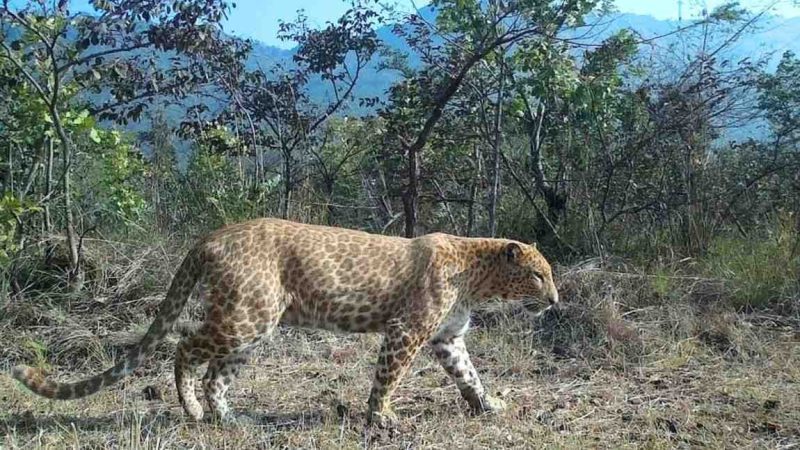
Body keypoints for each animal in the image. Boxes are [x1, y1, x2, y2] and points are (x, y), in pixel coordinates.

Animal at [12, 218, 559, 426]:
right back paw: (192, 410)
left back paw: (227, 417)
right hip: (245, 318)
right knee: (185, 349)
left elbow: (469, 376)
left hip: (253, 329)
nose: (555, 300)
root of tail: (212, 236)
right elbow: (388, 378)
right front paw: (380, 417)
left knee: (217, 375)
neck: (476, 275)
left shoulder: (448, 339)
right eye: (538, 275)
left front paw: (488, 406)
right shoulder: (405, 332)